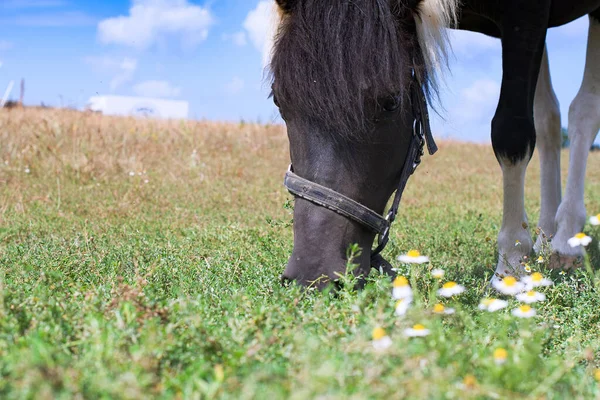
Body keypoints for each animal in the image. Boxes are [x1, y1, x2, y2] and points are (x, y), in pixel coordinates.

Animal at [268, 0, 600, 290]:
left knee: (583, 111)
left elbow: (513, 132)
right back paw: (547, 237)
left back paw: (567, 240)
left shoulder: (526, 15)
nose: (313, 274)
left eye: (391, 102)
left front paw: (511, 266)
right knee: (549, 119)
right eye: (278, 100)